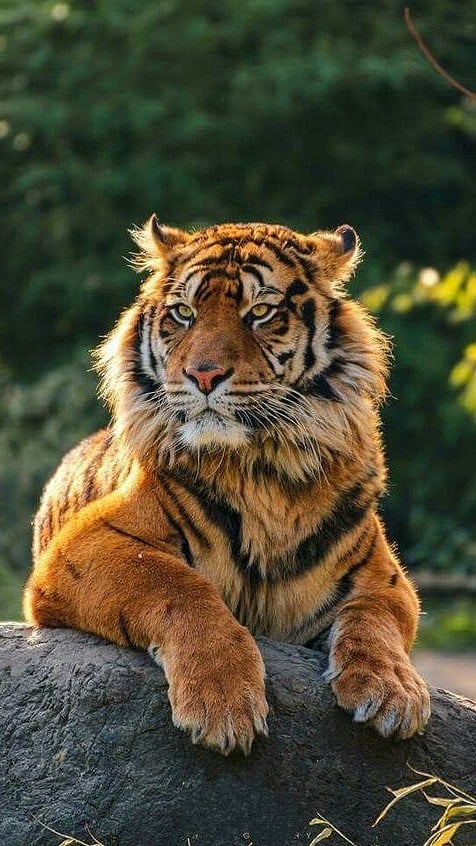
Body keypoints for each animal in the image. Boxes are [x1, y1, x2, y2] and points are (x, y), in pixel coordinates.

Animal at [24, 216, 431, 755]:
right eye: (183, 313)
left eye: (259, 312)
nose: (203, 375)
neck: (263, 470)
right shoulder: (88, 543)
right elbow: (179, 585)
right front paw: (222, 703)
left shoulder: (383, 575)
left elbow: (375, 617)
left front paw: (394, 691)